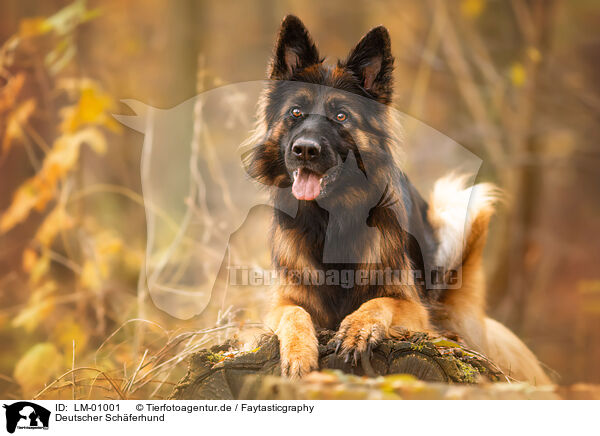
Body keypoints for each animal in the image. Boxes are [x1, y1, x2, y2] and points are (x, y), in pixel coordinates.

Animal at [246, 15, 552, 384]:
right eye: (295, 112)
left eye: (341, 116)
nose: (305, 150)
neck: (333, 218)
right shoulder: (283, 301)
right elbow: (293, 314)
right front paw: (298, 354)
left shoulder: (413, 307)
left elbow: (381, 303)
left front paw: (358, 329)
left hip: (460, 211)